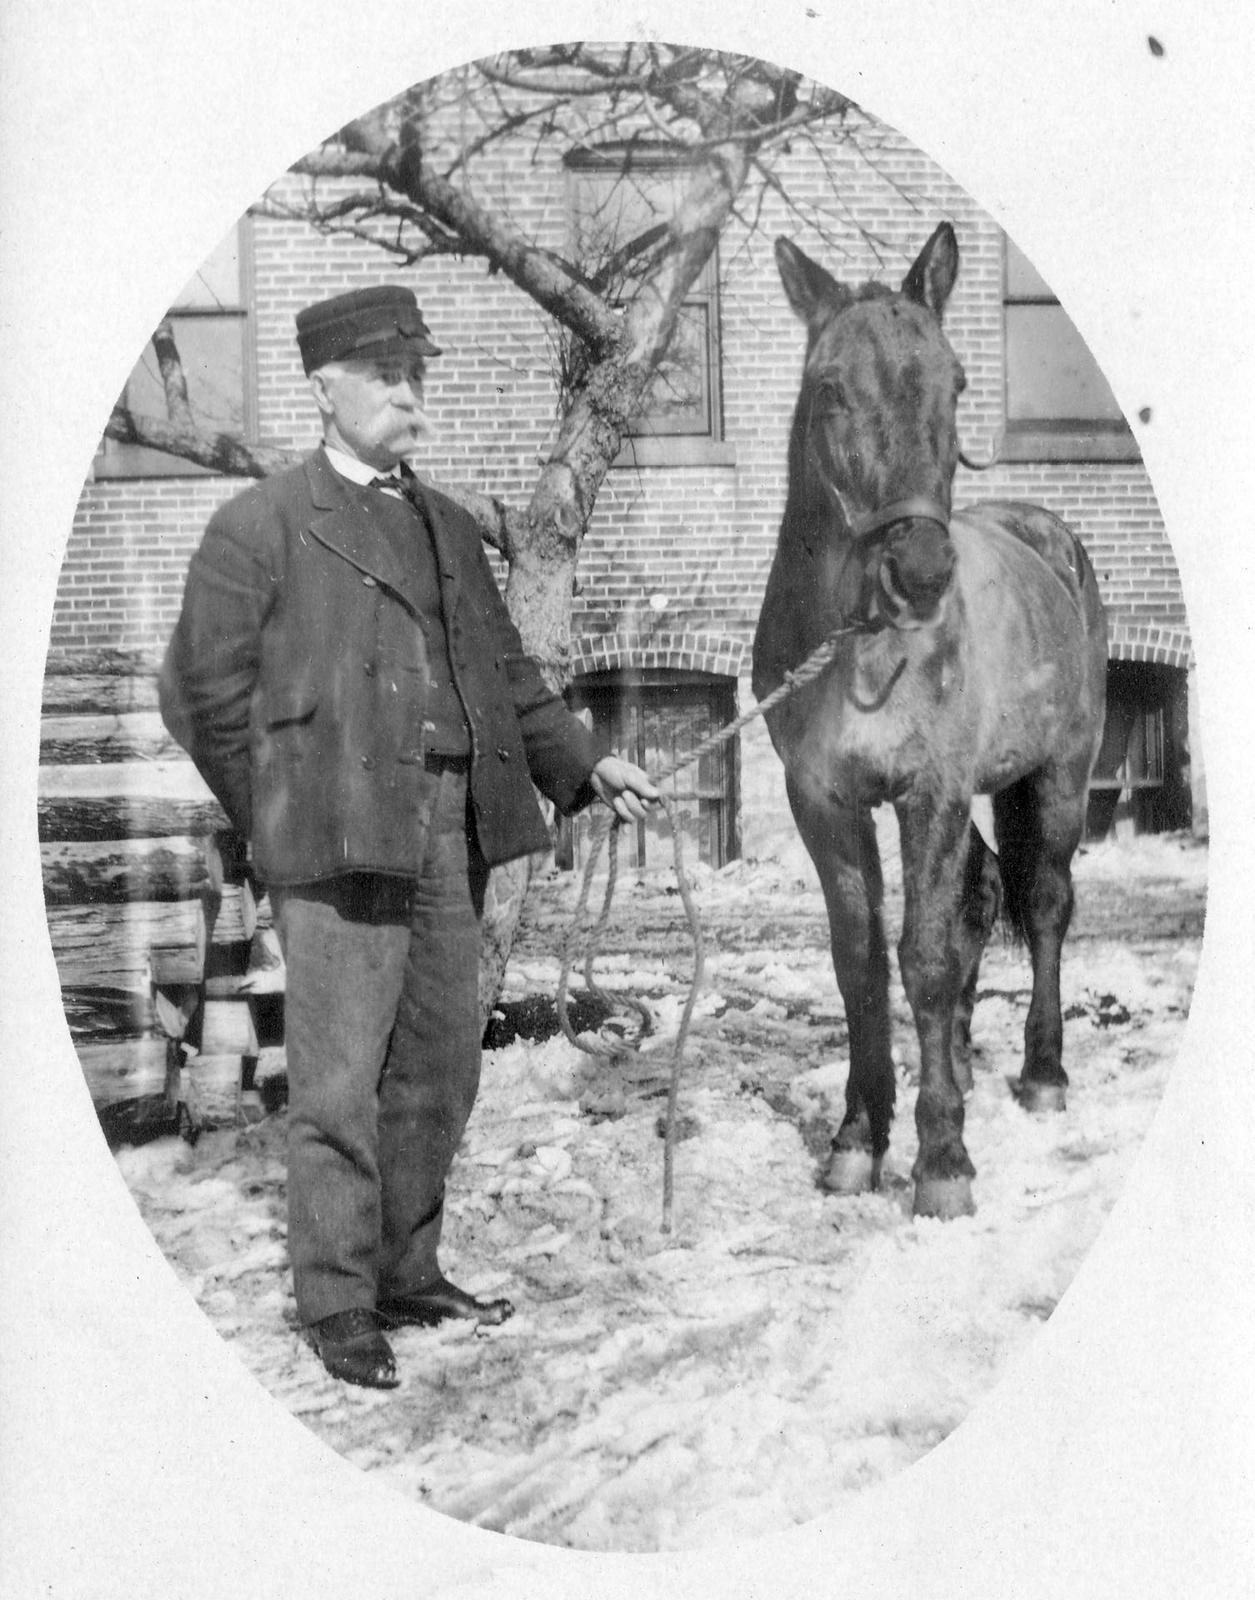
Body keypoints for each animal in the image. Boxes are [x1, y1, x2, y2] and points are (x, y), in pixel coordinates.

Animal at [749, 225, 1101, 1216]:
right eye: (830, 388)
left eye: (956, 383)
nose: (920, 574)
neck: (861, 645)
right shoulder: (821, 802)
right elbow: (861, 960)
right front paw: (855, 1141)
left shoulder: (929, 791)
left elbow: (928, 956)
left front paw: (942, 1160)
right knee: (981, 891)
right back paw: (967, 1063)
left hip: (1060, 778)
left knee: (1044, 903)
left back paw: (1040, 1074)